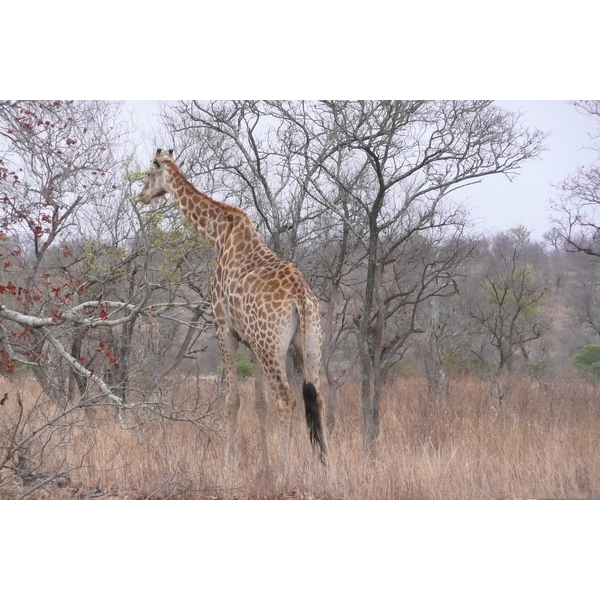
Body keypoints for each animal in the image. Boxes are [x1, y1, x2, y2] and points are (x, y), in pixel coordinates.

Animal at [139, 149, 328, 468]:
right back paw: (327, 469)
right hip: (309, 343)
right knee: (317, 398)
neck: (218, 235)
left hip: (272, 346)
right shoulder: (251, 342)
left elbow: (232, 400)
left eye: (149, 174)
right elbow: (259, 402)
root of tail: (300, 298)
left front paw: (232, 465)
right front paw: (264, 465)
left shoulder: (223, 327)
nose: (141, 195)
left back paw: (285, 469)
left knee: (287, 399)